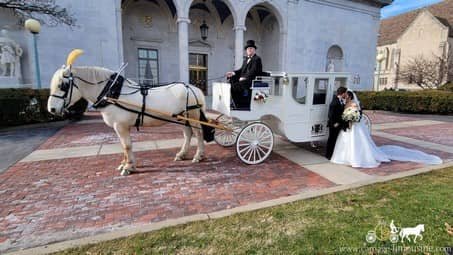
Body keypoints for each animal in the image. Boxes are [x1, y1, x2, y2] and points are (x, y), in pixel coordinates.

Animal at [47, 64, 207, 175]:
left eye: (63, 85)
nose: (51, 109)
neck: (113, 93)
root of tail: (194, 88)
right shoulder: (119, 127)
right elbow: (123, 146)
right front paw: (124, 164)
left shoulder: (121, 126)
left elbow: (127, 145)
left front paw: (129, 167)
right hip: (182, 118)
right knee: (187, 134)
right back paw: (182, 154)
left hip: (193, 117)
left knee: (198, 134)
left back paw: (198, 156)